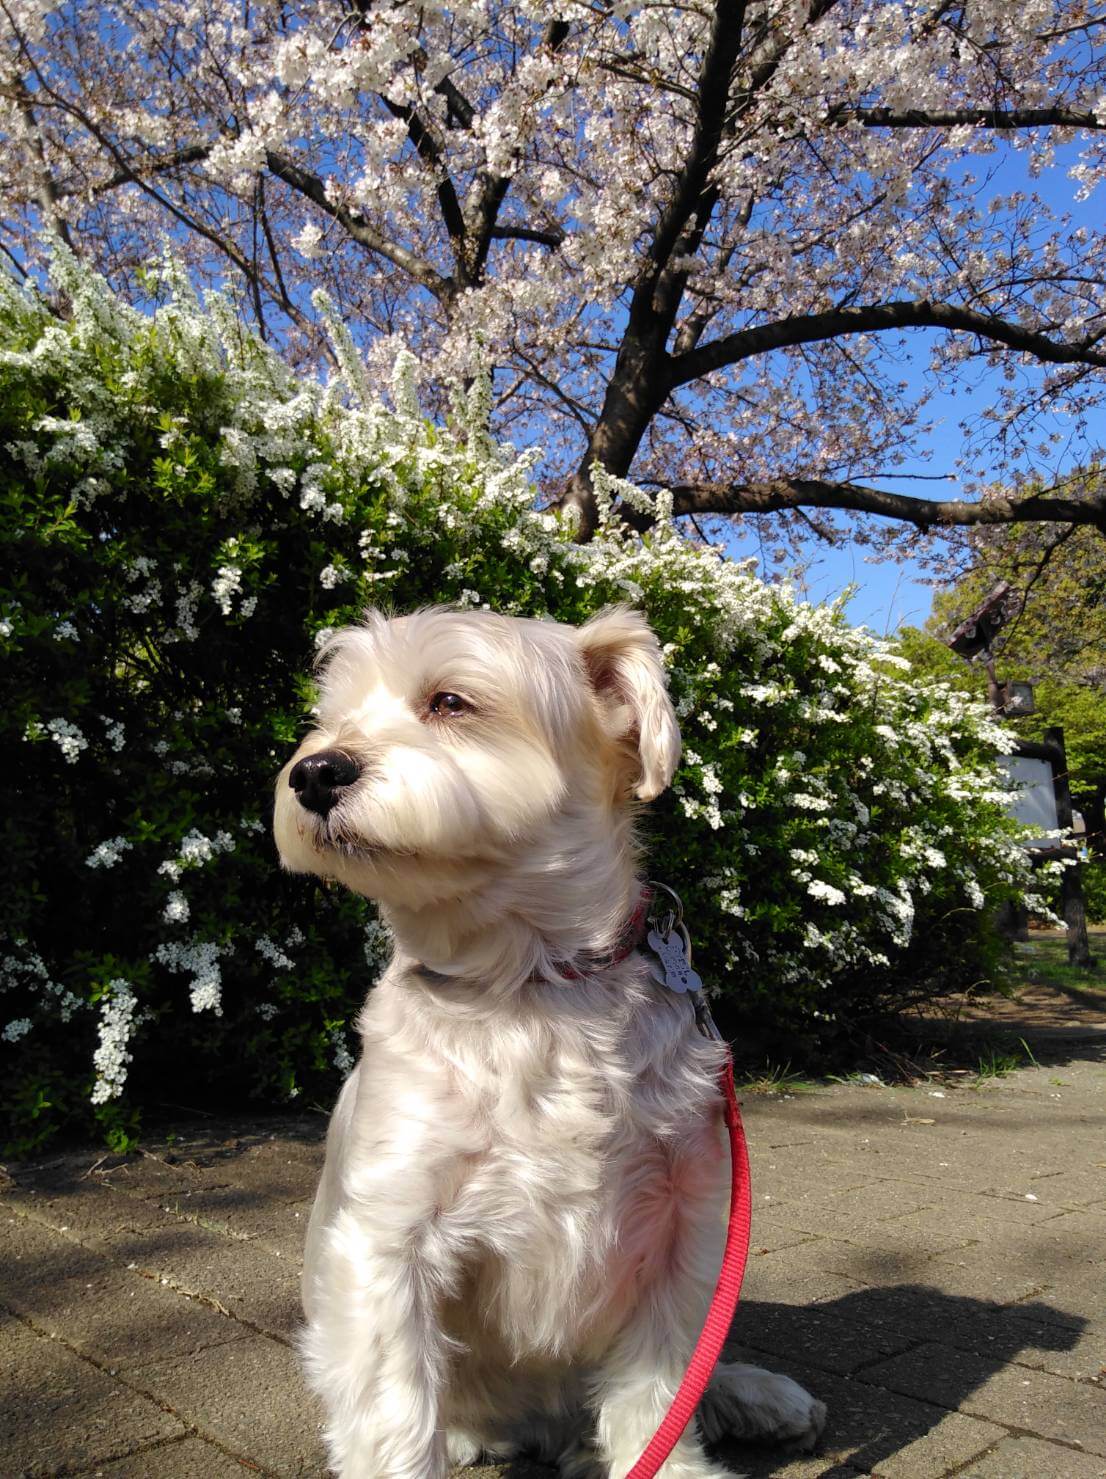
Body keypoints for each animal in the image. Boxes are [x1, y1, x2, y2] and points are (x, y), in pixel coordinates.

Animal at [275, 606, 828, 1473]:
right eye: (329, 718)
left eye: (450, 701)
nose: (314, 771)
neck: (528, 988)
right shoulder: (388, 1239)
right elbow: (394, 1412)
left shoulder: (682, 1227)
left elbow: (658, 1392)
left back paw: (756, 1395)